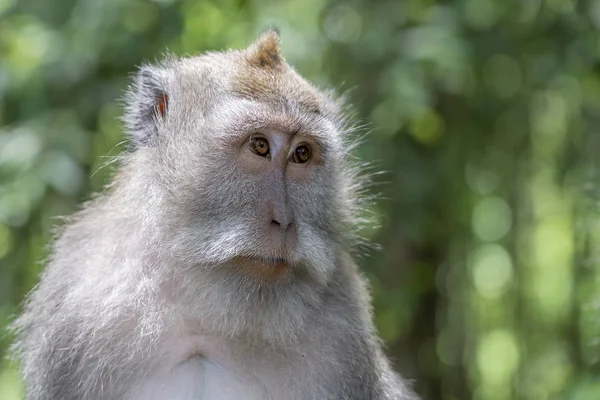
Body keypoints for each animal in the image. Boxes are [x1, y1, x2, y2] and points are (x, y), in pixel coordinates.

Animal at [11, 31, 420, 400]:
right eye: (259, 146)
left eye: (302, 154)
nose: (284, 221)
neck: (206, 316)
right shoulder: (74, 307)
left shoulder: (345, 329)